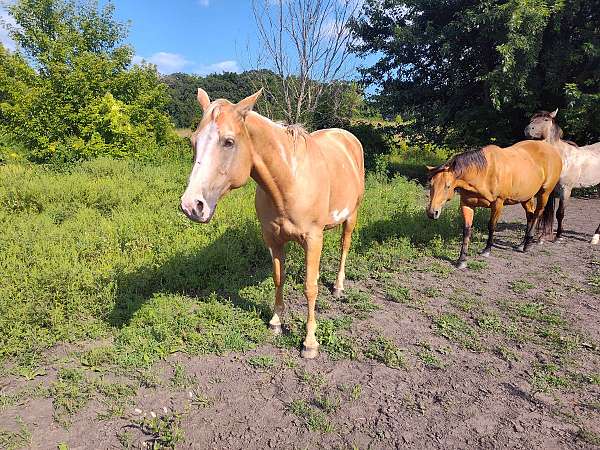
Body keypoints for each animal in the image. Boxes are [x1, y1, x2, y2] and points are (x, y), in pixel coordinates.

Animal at [180, 89, 364, 358]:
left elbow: (310, 287)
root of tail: (348, 138)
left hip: (351, 217)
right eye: (194, 141)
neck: (289, 181)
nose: (191, 205)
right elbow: (279, 277)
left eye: (228, 142)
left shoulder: (313, 238)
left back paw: (338, 287)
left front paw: (310, 343)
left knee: (344, 247)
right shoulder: (273, 238)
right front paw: (276, 322)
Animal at [426, 141, 564, 268]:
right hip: (526, 197)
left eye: (447, 186)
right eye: (431, 184)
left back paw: (528, 245)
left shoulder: (498, 203)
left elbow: (491, 226)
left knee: (537, 214)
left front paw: (487, 250)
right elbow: (466, 230)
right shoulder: (466, 204)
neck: (484, 173)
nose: (432, 213)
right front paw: (462, 260)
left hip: (544, 193)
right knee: (530, 215)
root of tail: (553, 150)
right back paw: (522, 244)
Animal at [524, 108, 600, 243]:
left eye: (546, 119)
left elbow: (560, 213)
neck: (562, 157)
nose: (528, 129)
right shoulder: (549, 190)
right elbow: (546, 212)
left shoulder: (566, 190)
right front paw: (542, 237)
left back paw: (595, 237)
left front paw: (558, 236)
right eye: (532, 119)